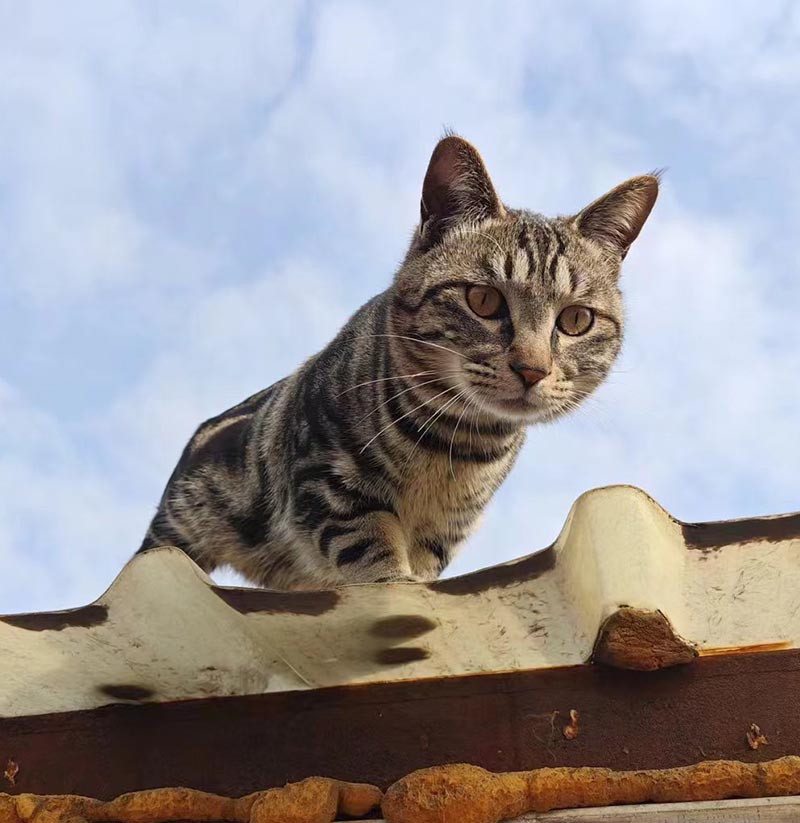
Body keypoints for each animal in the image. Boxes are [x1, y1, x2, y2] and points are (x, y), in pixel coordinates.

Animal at [141, 135, 660, 584]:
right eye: (484, 301)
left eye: (575, 319)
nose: (532, 369)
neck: (456, 446)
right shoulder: (327, 480)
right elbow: (371, 548)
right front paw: (393, 580)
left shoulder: (443, 535)